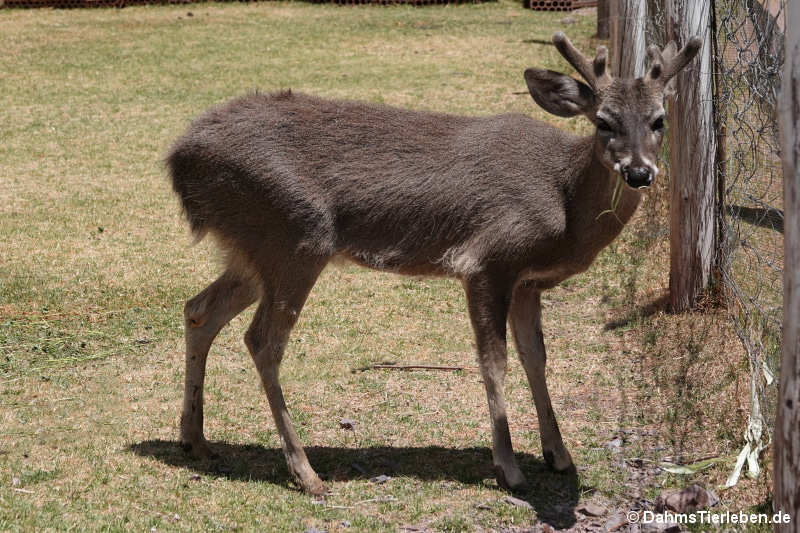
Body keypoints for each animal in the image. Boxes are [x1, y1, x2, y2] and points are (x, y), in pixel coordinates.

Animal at [167, 31, 700, 492]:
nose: (639, 173)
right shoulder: (488, 260)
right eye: (603, 121)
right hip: (295, 237)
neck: (564, 203)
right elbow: (494, 362)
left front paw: (559, 455)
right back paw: (306, 473)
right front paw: (508, 467)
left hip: (254, 249)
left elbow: (536, 358)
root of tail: (178, 158)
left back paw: (195, 440)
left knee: (199, 309)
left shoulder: (528, 282)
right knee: (263, 340)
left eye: (659, 120)